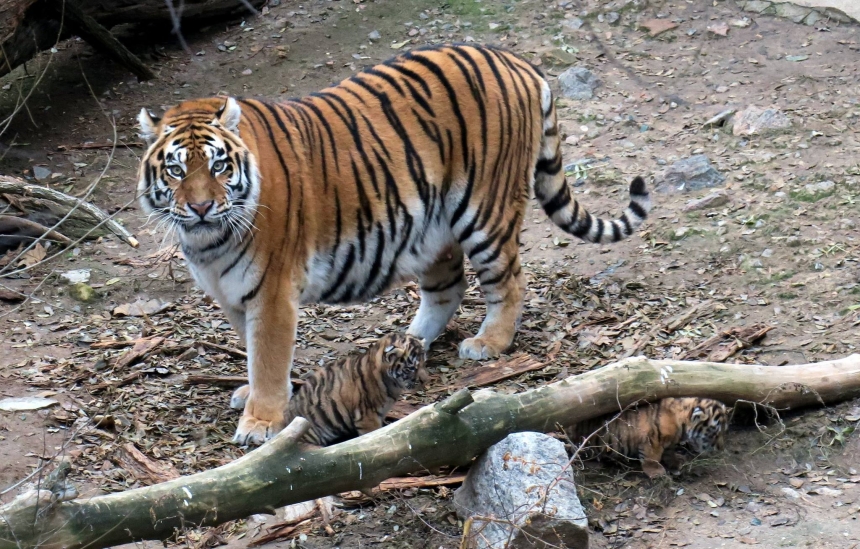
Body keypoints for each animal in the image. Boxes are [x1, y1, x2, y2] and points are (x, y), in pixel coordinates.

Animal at [138, 44, 648, 446]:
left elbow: (267, 354)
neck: (208, 240)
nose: (201, 206)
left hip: (485, 212)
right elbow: (250, 347)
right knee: (448, 290)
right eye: (176, 170)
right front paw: (251, 394)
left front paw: (260, 421)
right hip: (430, 228)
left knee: (510, 281)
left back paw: (488, 342)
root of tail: (516, 60)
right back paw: (411, 341)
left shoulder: (272, 289)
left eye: (219, 166)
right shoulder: (233, 293)